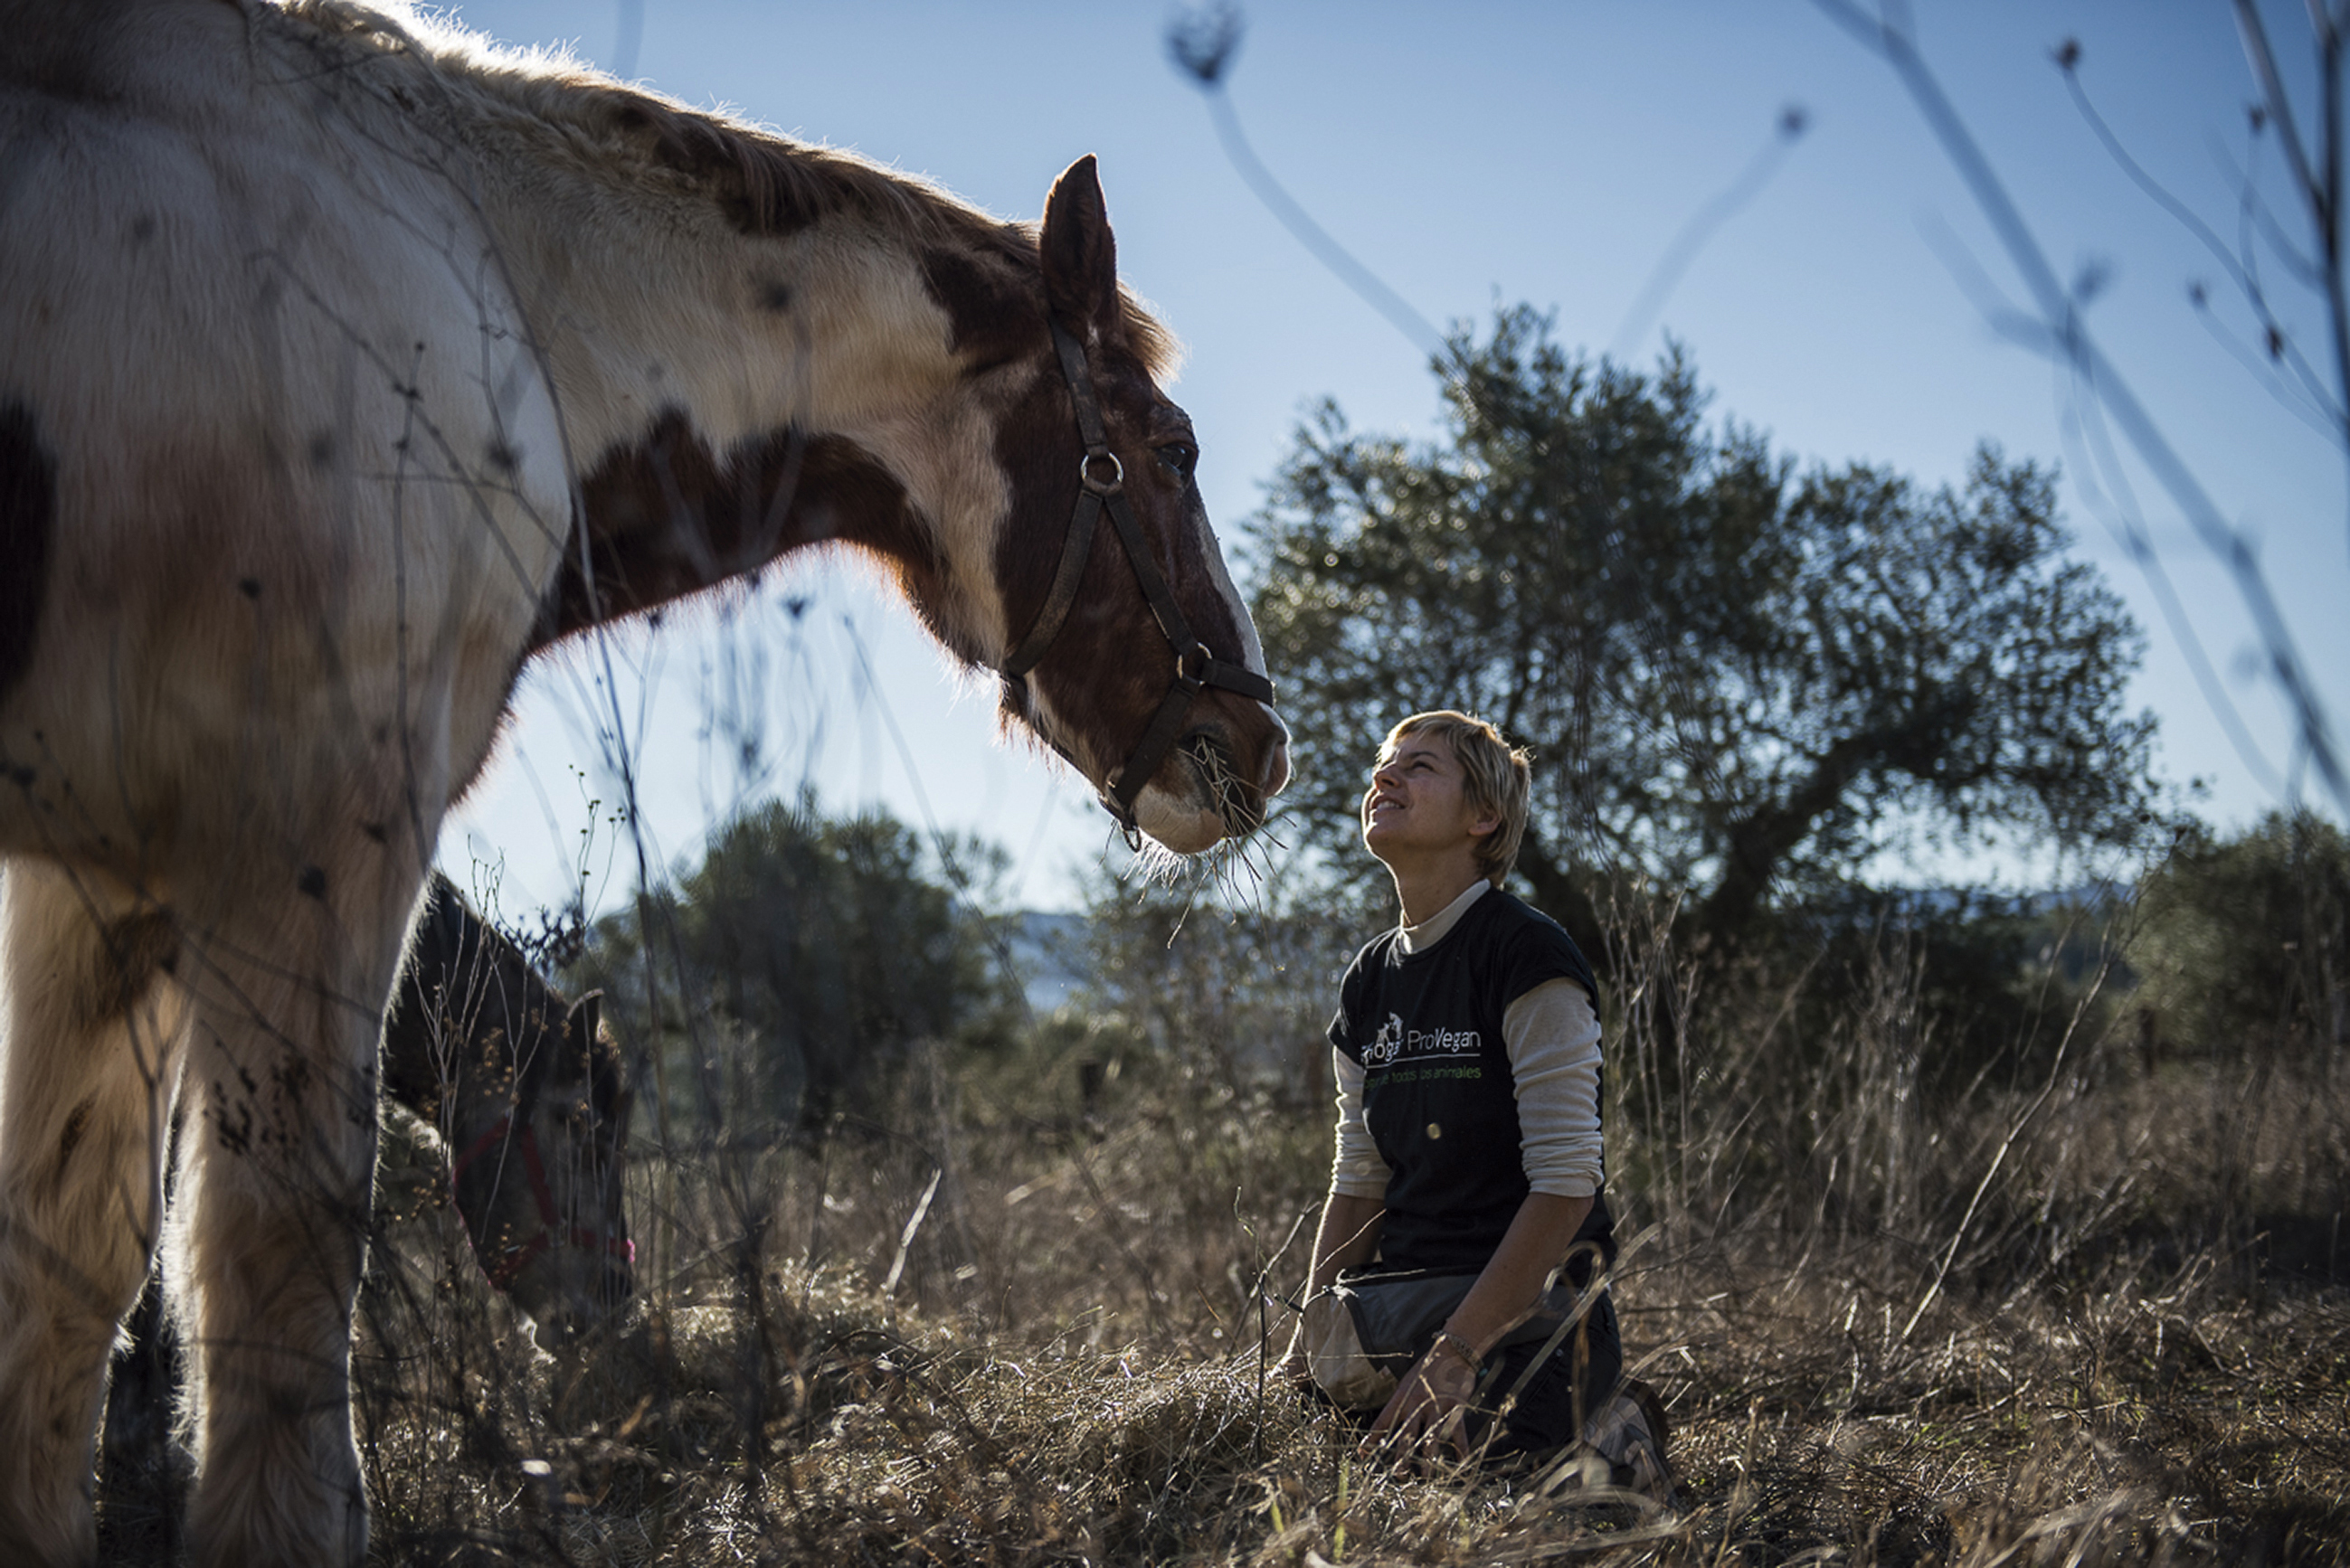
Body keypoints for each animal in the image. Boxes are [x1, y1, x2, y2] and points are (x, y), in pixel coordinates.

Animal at [0, 0, 1287, 1561]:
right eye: (1169, 450)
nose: (1259, 742)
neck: (470, 291)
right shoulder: (312, 828)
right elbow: (275, 1258)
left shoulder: (102, 878)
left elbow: (66, 1269)